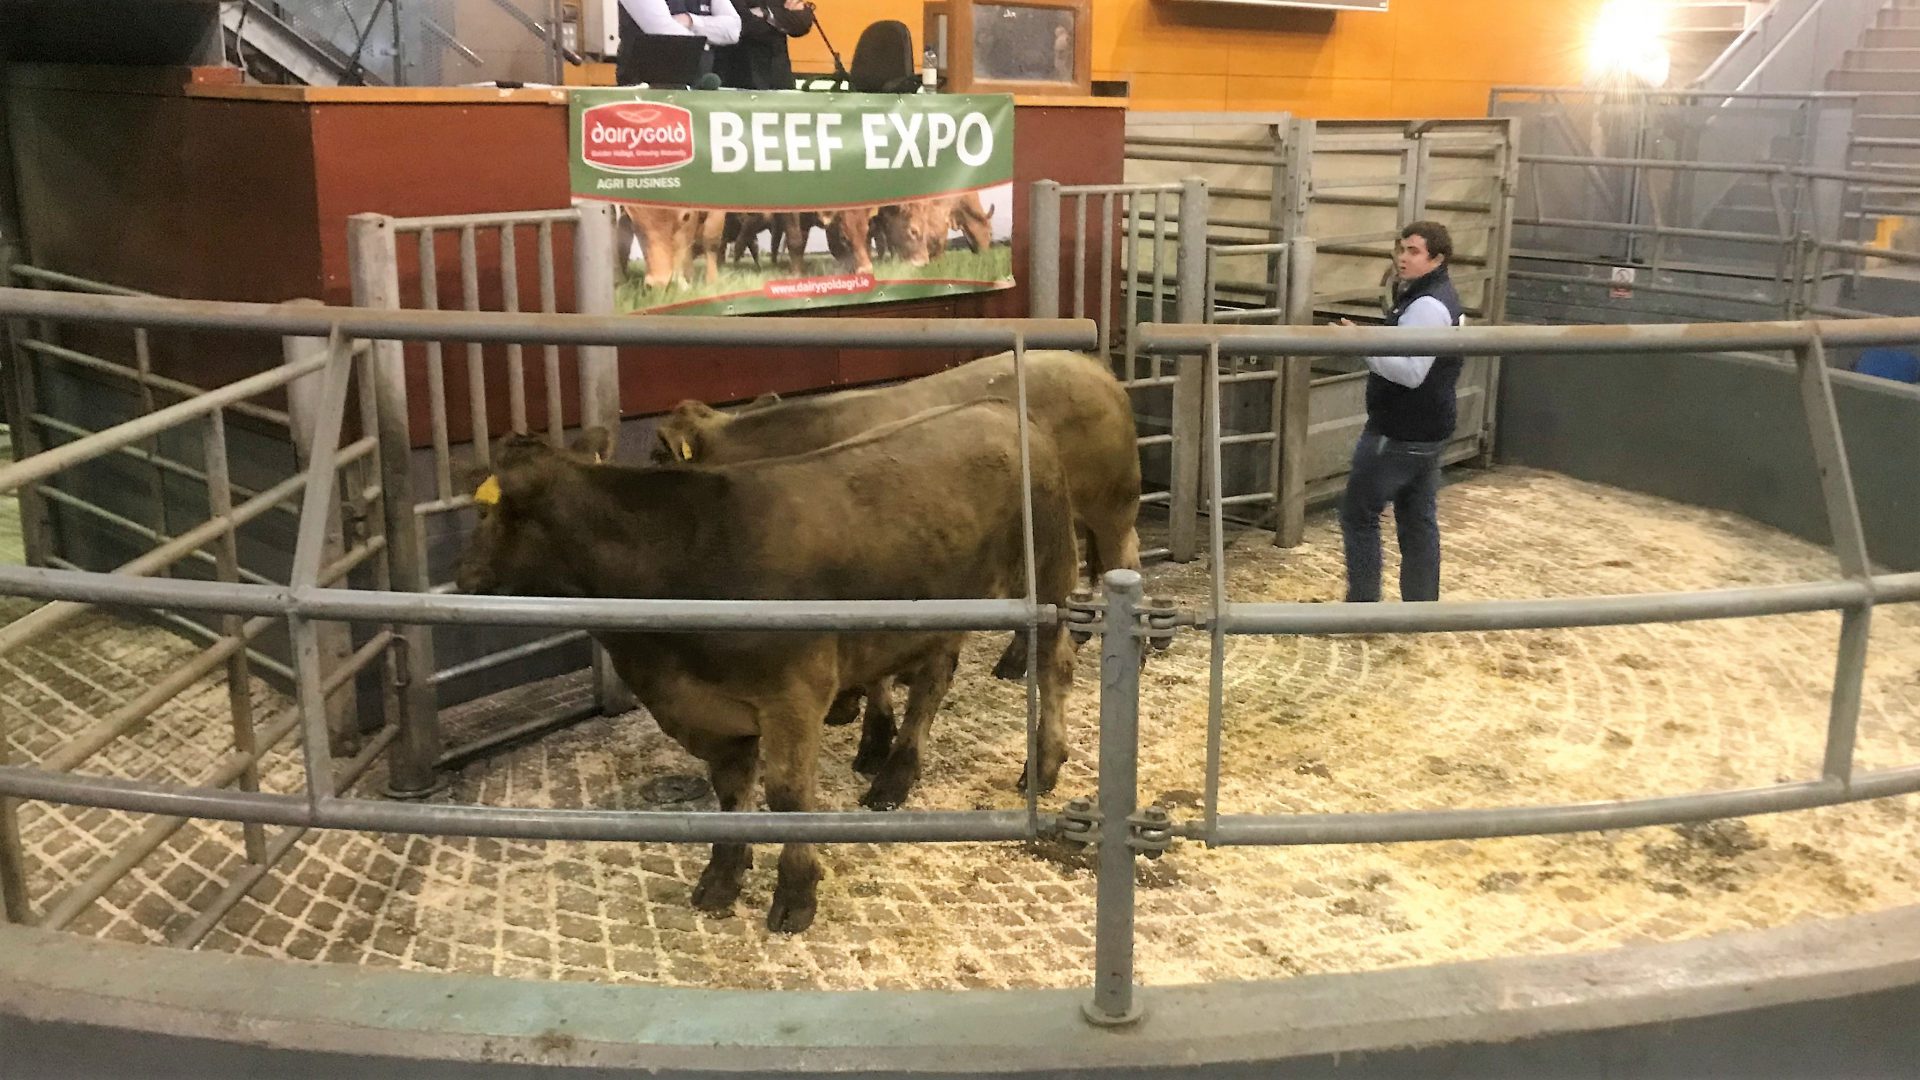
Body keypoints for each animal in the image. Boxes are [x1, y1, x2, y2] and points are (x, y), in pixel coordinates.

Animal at [455, 402, 1081, 933]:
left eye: (484, 510)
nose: (463, 579)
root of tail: (999, 409)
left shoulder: (793, 694)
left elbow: (787, 794)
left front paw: (796, 894)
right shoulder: (711, 709)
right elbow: (732, 794)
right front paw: (721, 877)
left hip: (1048, 578)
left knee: (1055, 666)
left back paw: (1044, 763)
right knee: (933, 679)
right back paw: (894, 774)